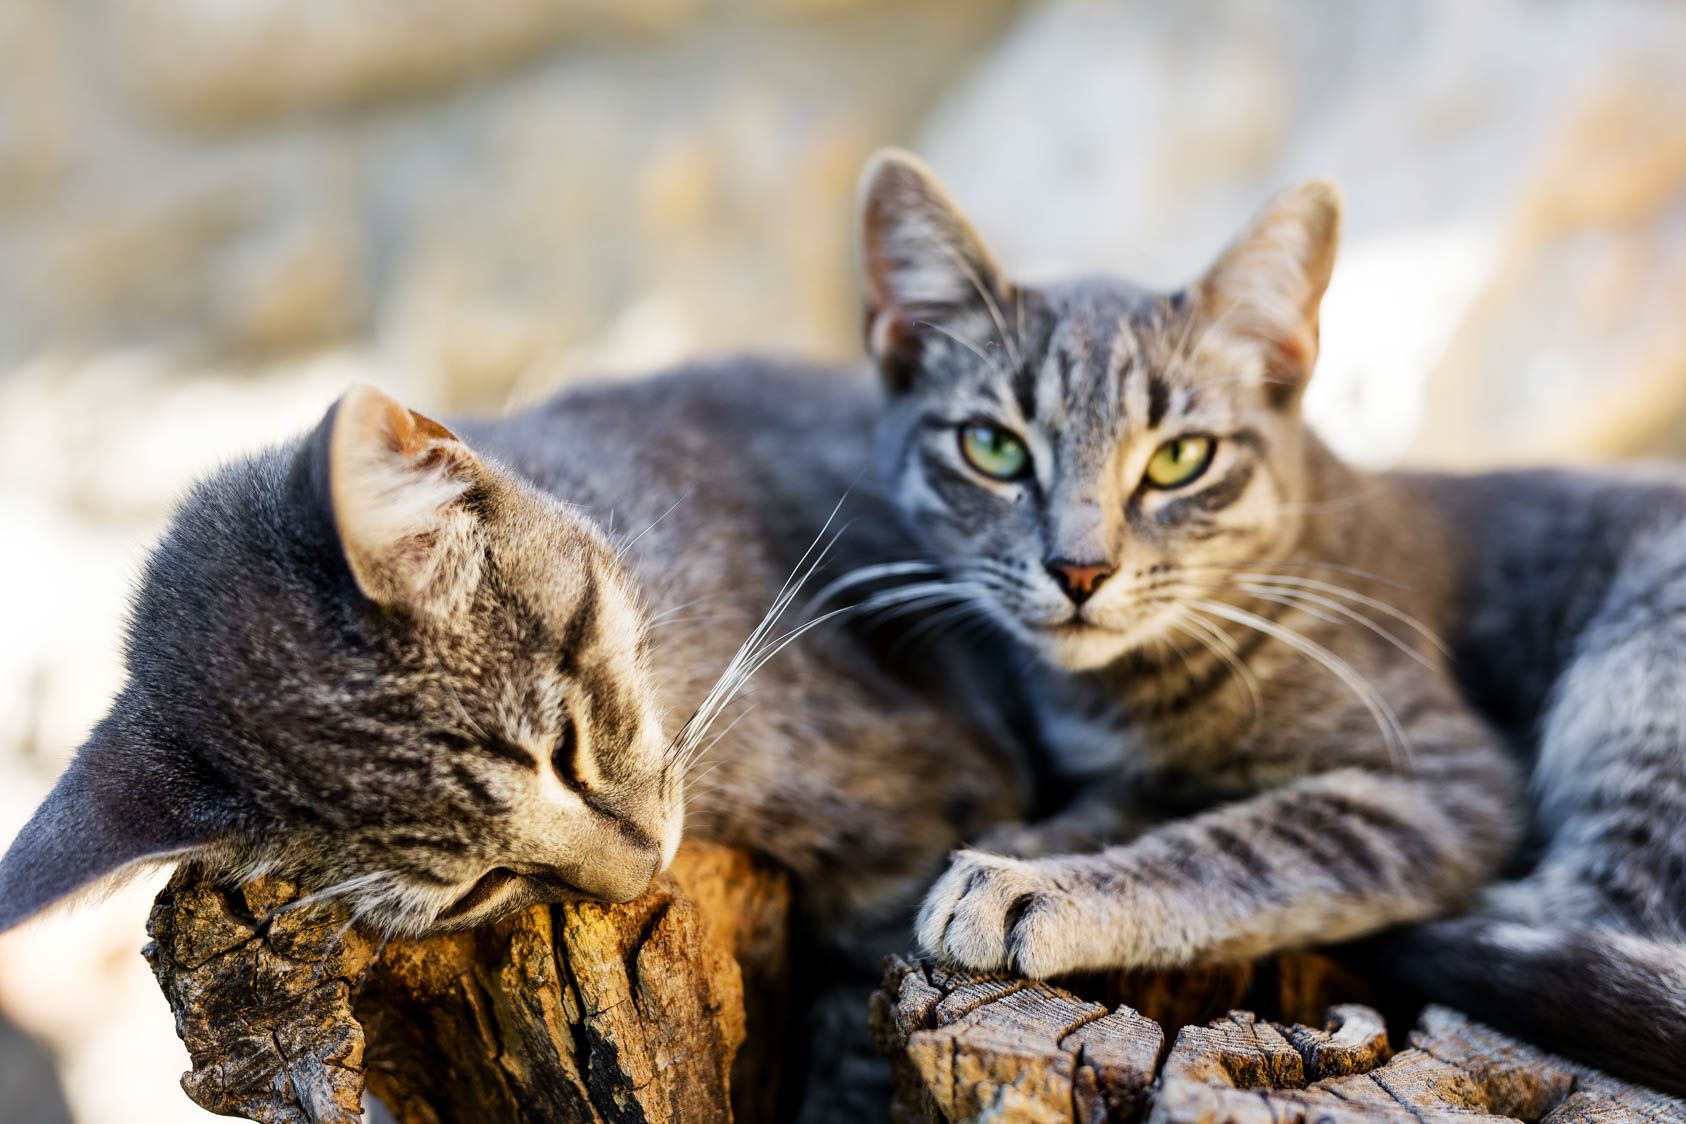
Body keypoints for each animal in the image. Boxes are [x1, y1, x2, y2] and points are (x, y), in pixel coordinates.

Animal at [856, 151, 1686, 1098]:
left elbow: (1237, 847)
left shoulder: (1447, 778)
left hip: (1637, 681)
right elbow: (1130, 796)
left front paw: (1038, 883)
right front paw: (1040, 830)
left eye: (1181, 459)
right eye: (993, 448)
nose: (1080, 570)